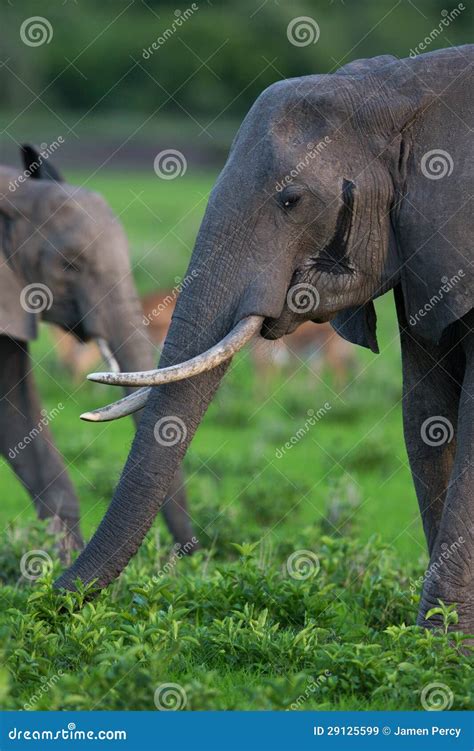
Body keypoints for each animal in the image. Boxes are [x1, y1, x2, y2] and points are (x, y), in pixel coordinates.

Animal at [57, 47, 472, 636]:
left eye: (291, 200)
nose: (47, 597)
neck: (398, 89)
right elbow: (427, 416)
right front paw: (436, 645)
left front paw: (439, 646)